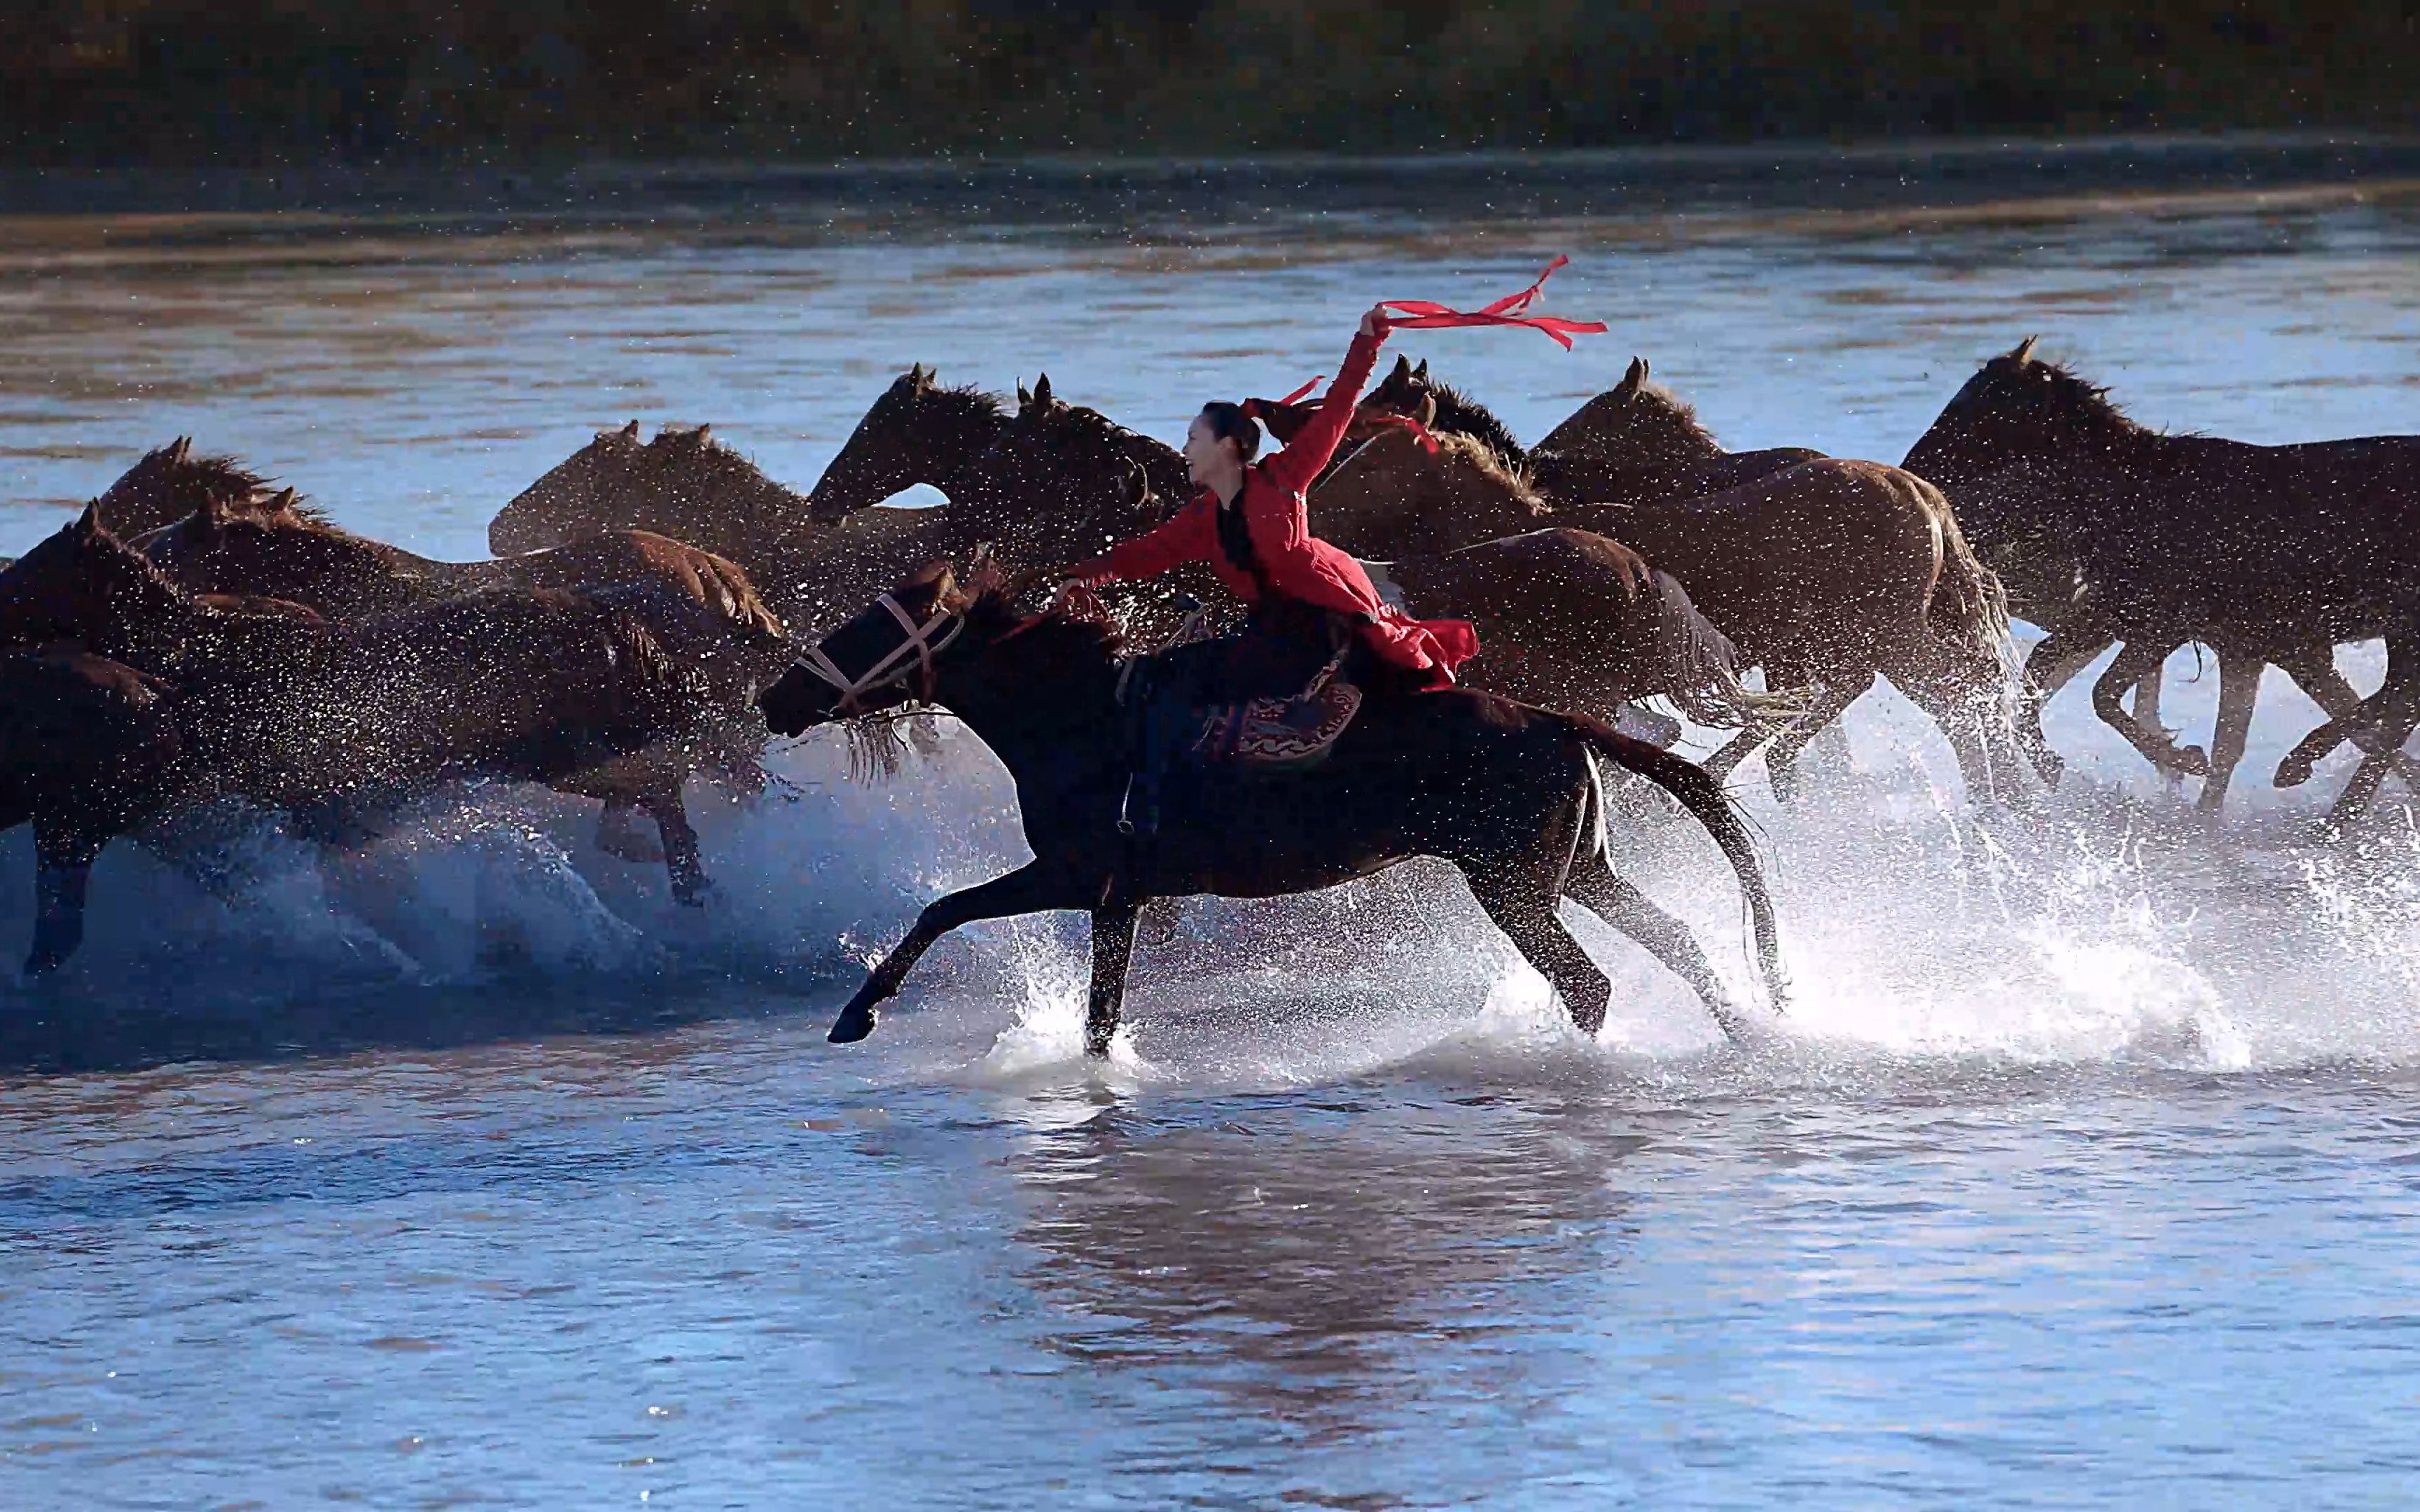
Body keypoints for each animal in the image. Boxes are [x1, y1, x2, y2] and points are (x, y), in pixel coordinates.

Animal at [0, 507, 716, 967]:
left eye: (30, 570)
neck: (192, 656)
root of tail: (611, 619)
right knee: (659, 792)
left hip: (580, 752)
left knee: (664, 790)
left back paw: (688, 884)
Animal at [760, 561, 1800, 1054]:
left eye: (860, 632)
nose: (776, 698)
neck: (1080, 716)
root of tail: (1553, 716)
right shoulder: (1119, 898)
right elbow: (1099, 1011)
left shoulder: (1074, 875)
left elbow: (945, 909)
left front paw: (858, 1013)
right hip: (1577, 869)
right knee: (1679, 940)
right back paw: (1751, 1031)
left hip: (1510, 885)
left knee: (1589, 982)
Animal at [1307, 418, 2023, 803]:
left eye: (1370, 462)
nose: (1311, 506)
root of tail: (1922, 494)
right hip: (1850, 641)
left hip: (1886, 636)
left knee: (1959, 697)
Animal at [1907, 338, 2420, 818]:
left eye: (1978, 402)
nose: (1916, 466)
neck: (2126, 500)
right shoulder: (2201, 633)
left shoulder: (2167, 623)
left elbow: (2105, 696)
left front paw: (2184, 760)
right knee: (2396, 700)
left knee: (2397, 699)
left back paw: (2306, 771)